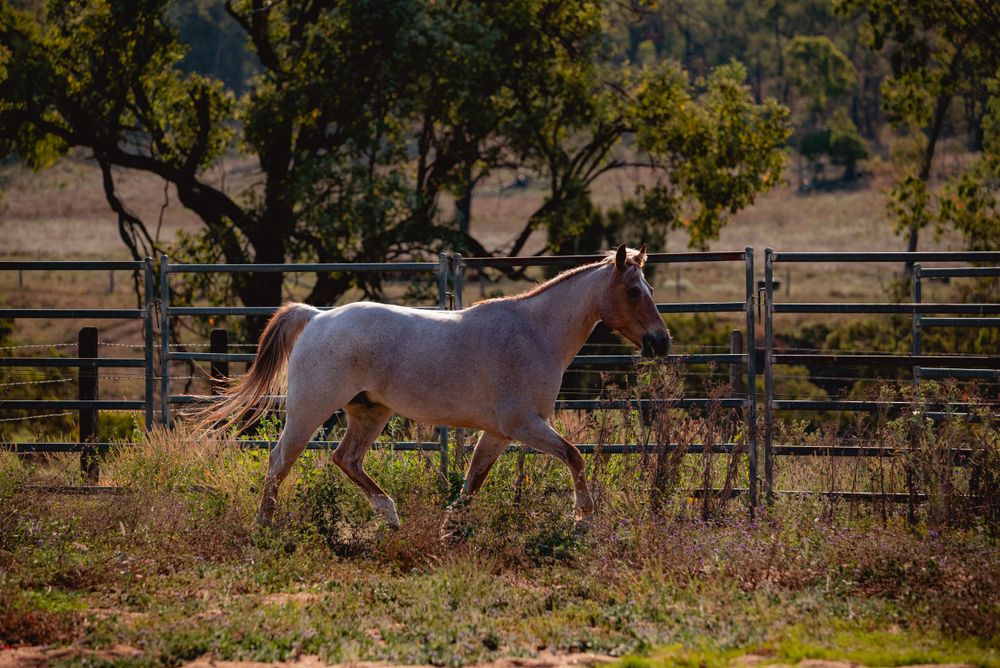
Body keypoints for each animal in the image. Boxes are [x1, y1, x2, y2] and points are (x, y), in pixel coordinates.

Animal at [201, 244, 671, 529]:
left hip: (369, 412)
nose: (661, 342)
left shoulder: (499, 433)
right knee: (280, 460)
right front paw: (583, 517)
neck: (534, 333)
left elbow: (473, 480)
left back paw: (391, 516)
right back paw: (265, 525)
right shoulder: (524, 424)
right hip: (309, 411)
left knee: (345, 459)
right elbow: (574, 455)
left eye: (649, 287)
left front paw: (451, 528)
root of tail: (317, 316)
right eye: (634, 291)